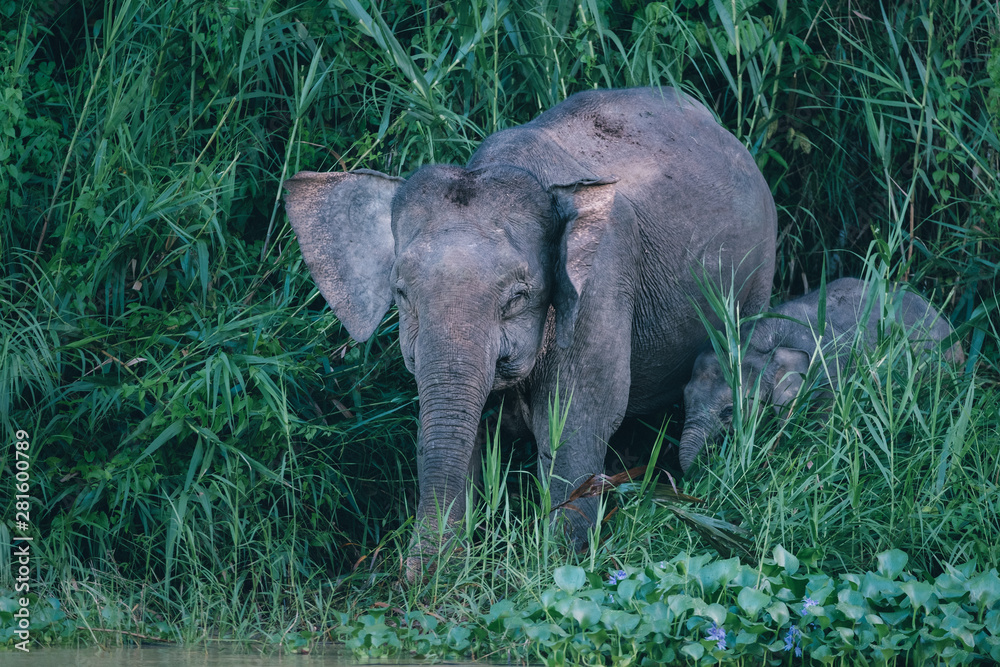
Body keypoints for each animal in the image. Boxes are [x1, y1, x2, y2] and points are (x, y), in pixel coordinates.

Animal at [283, 87, 777, 570]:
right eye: (401, 293)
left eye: (518, 297)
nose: (411, 575)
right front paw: (448, 569)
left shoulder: (600, 282)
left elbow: (575, 422)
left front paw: (560, 564)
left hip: (759, 275)